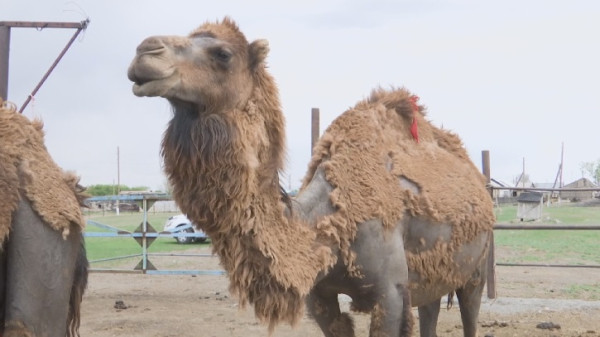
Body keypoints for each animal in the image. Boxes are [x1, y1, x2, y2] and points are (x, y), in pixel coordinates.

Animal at [126, 18, 492, 336]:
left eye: (223, 54)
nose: (144, 51)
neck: (323, 221)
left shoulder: (389, 292)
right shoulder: (320, 297)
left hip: (475, 268)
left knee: (470, 313)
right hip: (434, 273)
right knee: (431, 310)